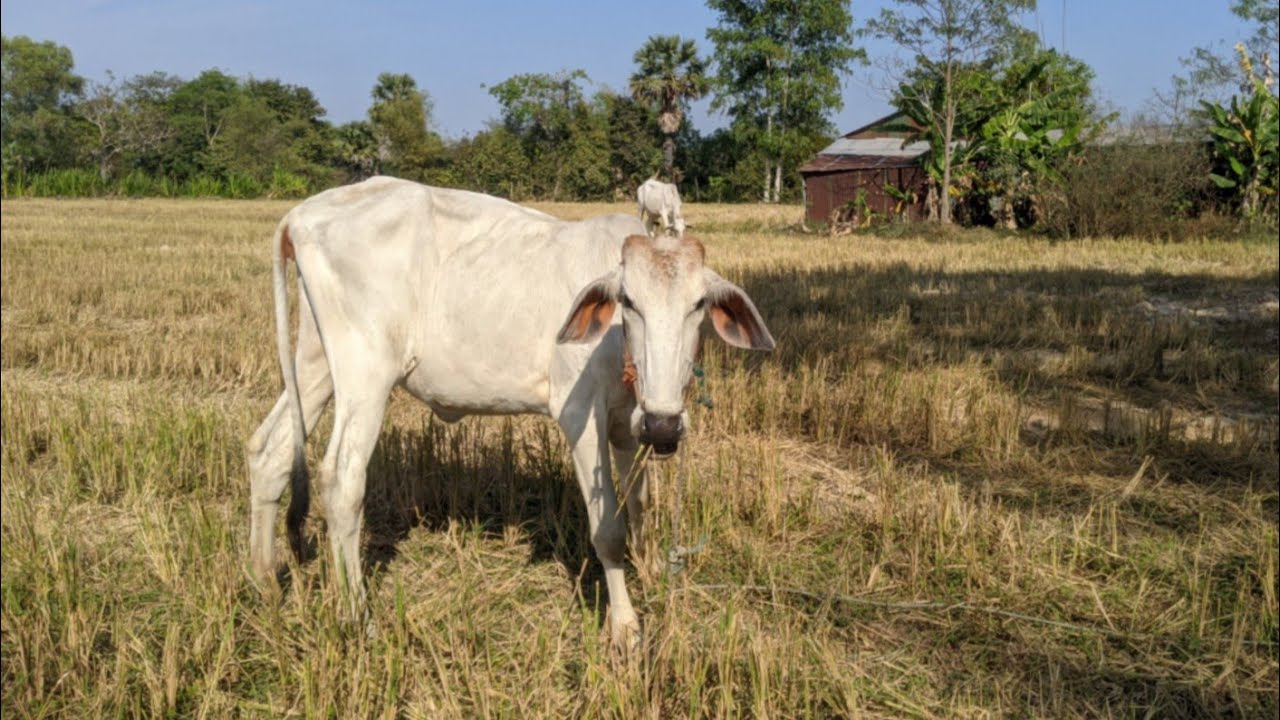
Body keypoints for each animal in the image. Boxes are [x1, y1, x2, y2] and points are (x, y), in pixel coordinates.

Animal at [246, 176, 774, 648]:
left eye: (699, 304)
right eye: (628, 301)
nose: (665, 425)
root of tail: (301, 215)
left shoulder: (629, 424)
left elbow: (640, 503)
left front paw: (652, 572)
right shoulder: (579, 413)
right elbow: (608, 528)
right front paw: (625, 628)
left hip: (315, 363)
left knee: (269, 452)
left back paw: (264, 582)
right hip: (365, 374)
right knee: (341, 478)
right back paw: (358, 617)